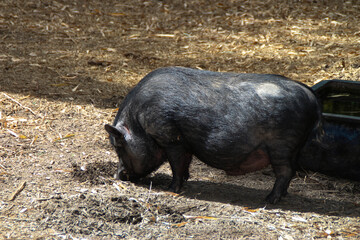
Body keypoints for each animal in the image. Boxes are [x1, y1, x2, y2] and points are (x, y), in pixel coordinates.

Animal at [104, 66, 320, 203]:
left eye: (119, 147)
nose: (117, 175)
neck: (138, 122)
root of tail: (311, 96)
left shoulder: (170, 137)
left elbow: (176, 164)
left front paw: (171, 189)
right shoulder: (185, 142)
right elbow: (185, 162)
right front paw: (186, 180)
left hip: (281, 145)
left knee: (286, 172)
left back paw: (269, 200)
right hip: (292, 147)